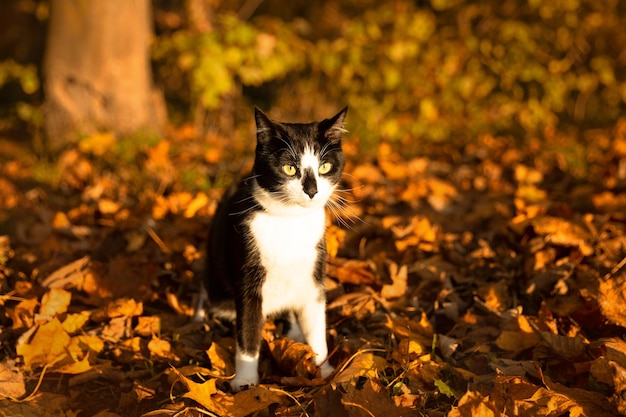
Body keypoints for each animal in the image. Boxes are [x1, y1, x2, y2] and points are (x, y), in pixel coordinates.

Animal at [204, 105, 346, 388]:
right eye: (290, 169)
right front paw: (245, 382)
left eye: (325, 166)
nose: (312, 191)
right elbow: (248, 331)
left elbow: (316, 325)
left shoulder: (314, 276)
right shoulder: (247, 277)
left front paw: (324, 371)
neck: (289, 221)